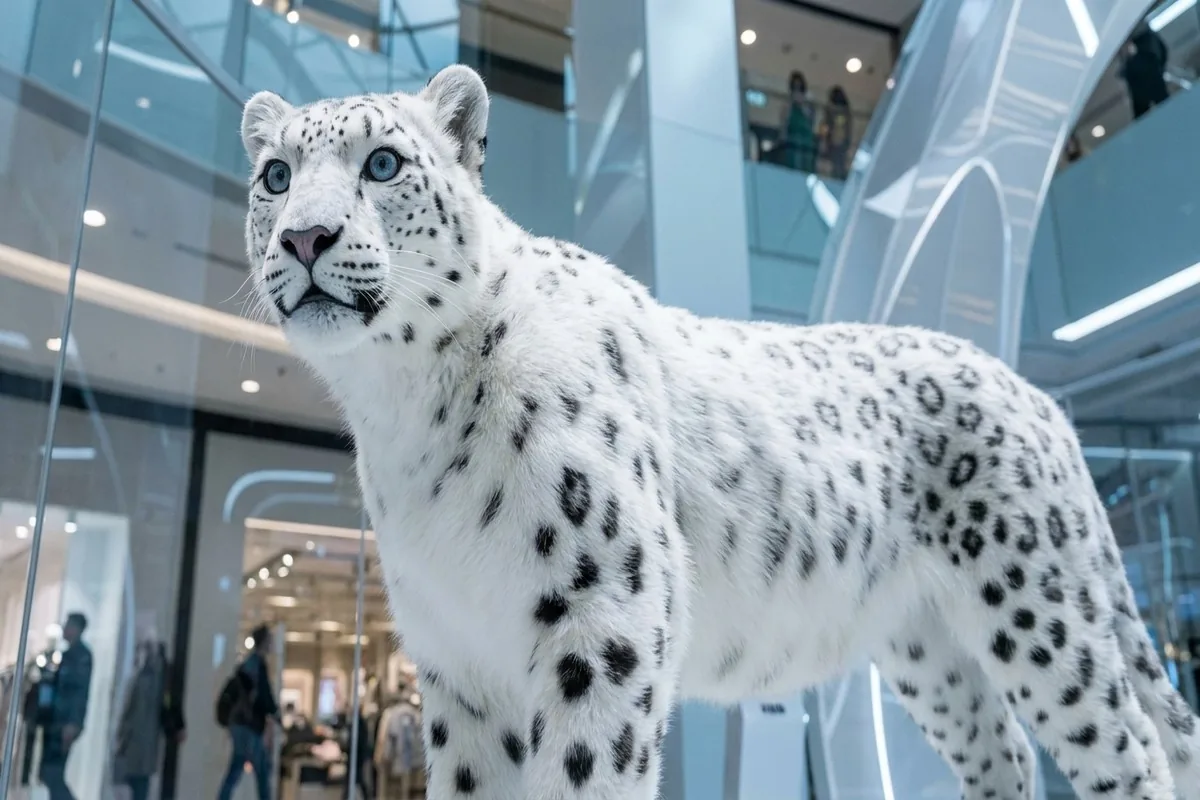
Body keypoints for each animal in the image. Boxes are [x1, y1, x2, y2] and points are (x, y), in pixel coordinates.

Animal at [240, 64, 1200, 799]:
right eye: (276, 177)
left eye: (383, 162)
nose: (305, 237)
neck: (403, 414)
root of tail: (1039, 394)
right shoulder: (456, 661)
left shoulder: (605, 615)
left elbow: (586, 773)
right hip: (929, 649)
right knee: (1003, 751)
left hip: (1039, 608)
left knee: (1127, 751)